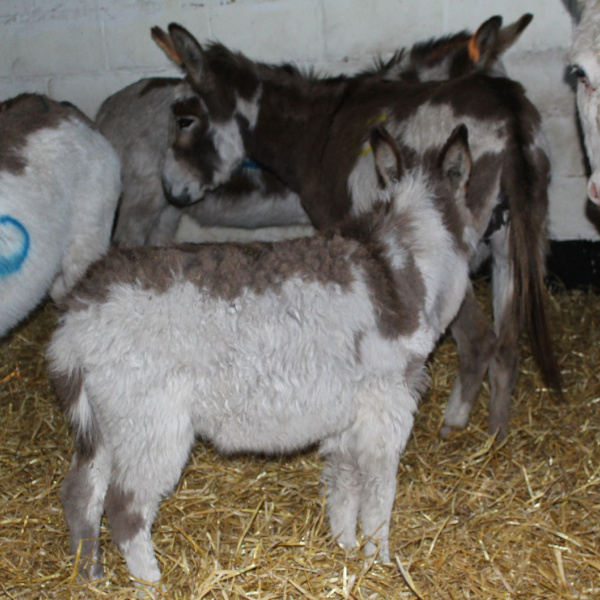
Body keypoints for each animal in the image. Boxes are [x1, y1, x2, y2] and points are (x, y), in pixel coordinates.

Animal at [49, 123, 476, 584]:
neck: (403, 263)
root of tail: (76, 314)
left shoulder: (348, 416)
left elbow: (344, 485)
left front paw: (344, 550)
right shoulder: (387, 405)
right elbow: (379, 492)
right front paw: (376, 562)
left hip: (106, 424)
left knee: (81, 493)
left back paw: (90, 577)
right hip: (151, 423)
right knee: (125, 508)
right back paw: (152, 585)